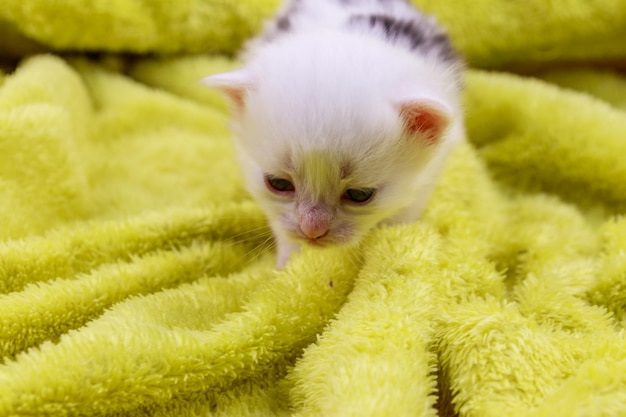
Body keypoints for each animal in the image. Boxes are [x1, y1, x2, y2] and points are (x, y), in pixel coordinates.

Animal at [202, 0, 460, 266]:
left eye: (360, 194)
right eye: (279, 183)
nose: (312, 231)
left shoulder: (431, 168)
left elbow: (404, 211)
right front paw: (289, 262)